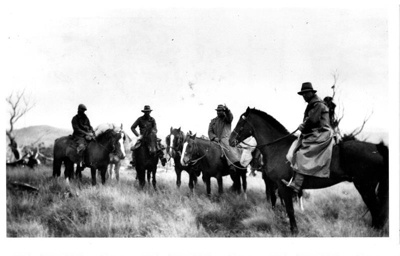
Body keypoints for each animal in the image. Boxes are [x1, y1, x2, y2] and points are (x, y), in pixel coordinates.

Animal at [230, 107, 390, 233]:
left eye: (241, 122)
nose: (231, 140)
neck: (277, 148)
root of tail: (377, 148)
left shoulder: (282, 186)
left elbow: (289, 208)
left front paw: (294, 230)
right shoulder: (276, 185)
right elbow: (279, 203)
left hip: (365, 187)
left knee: (376, 209)